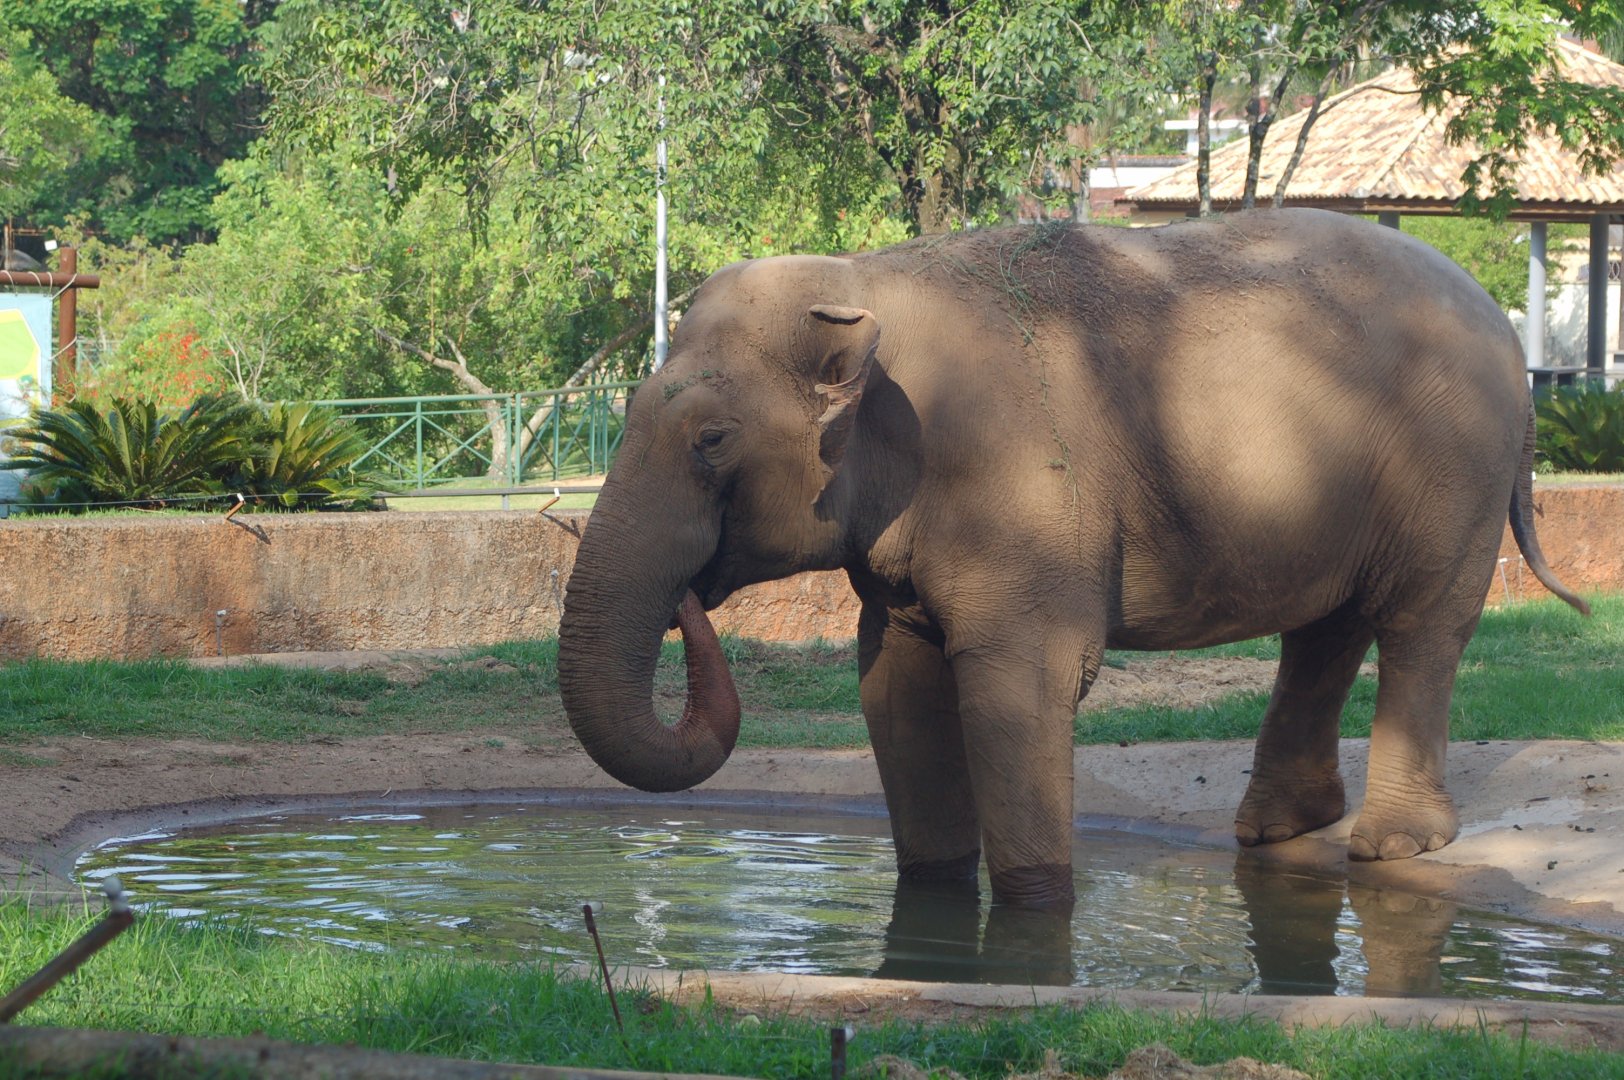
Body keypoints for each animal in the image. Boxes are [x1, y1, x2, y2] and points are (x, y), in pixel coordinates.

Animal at [557, 208, 1588, 909]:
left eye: (712, 441)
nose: (691, 599)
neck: (867, 287)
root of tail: (1505, 330)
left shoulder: (1024, 490)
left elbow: (1023, 678)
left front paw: (1036, 907)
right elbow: (894, 681)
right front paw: (936, 892)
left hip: (1454, 467)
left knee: (1420, 624)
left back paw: (1393, 848)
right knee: (1325, 630)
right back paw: (1275, 830)